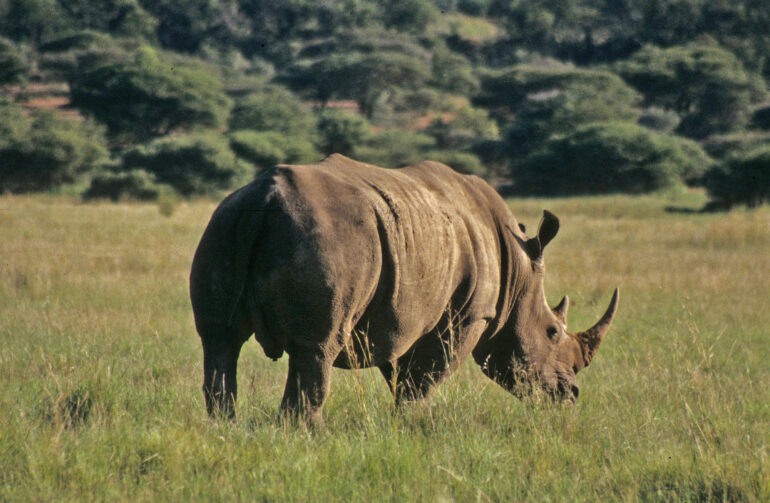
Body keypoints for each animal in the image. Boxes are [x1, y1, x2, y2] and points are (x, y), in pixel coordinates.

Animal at [190, 154, 618, 425]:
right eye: (552, 332)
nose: (570, 395)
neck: (519, 273)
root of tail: (265, 198)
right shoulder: (469, 315)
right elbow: (426, 375)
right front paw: (416, 424)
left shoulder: (401, 313)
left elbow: (403, 370)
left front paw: (407, 421)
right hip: (326, 239)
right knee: (315, 347)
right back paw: (309, 434)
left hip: (223, 223)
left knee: (219, 341)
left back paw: (224, 429)